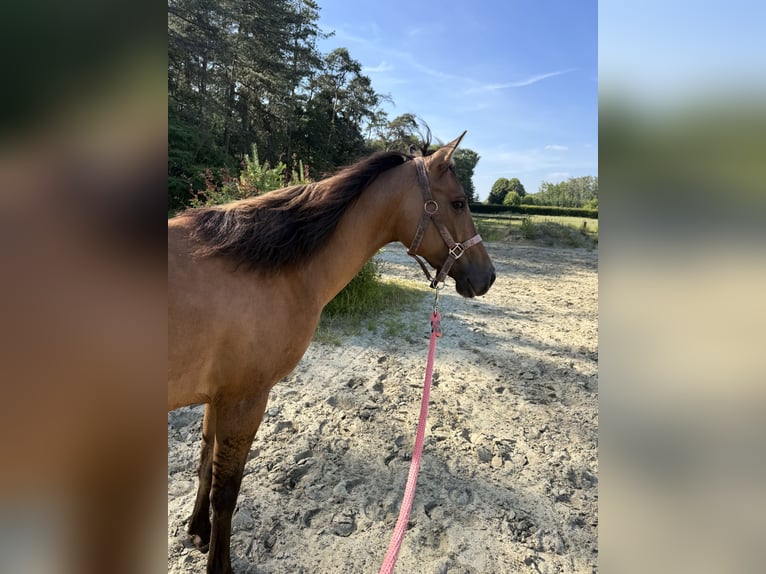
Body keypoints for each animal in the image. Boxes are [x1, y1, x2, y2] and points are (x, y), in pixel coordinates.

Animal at [168, 132, 496, 574]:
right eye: (459, 202)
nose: (487, 276)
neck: (264, 265)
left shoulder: (217, 398)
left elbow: (205, 461)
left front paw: (198, 531)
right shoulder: (244, 399)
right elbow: (227, 490)